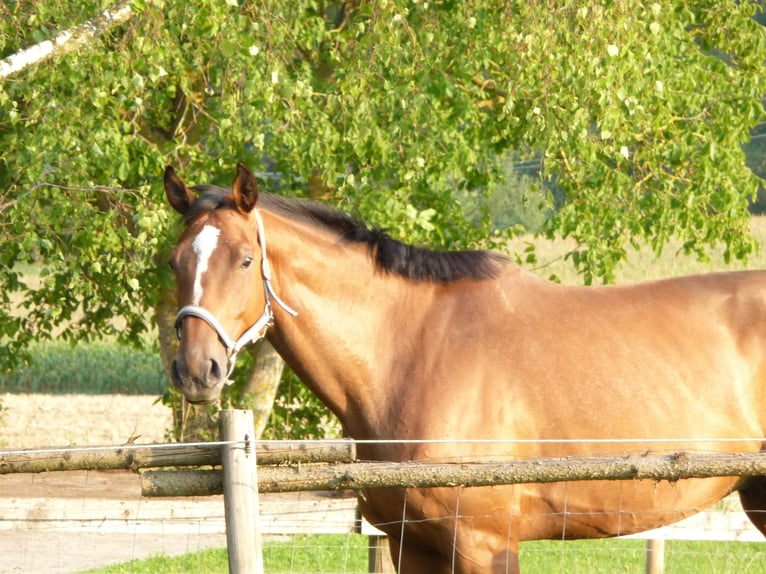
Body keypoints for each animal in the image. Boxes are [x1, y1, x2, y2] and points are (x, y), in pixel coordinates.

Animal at [164, 163, 766, 574]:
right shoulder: (412, 544)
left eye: (246, 259)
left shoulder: (485, 545)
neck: (410, 352)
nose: (196, 369)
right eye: (174, 262)